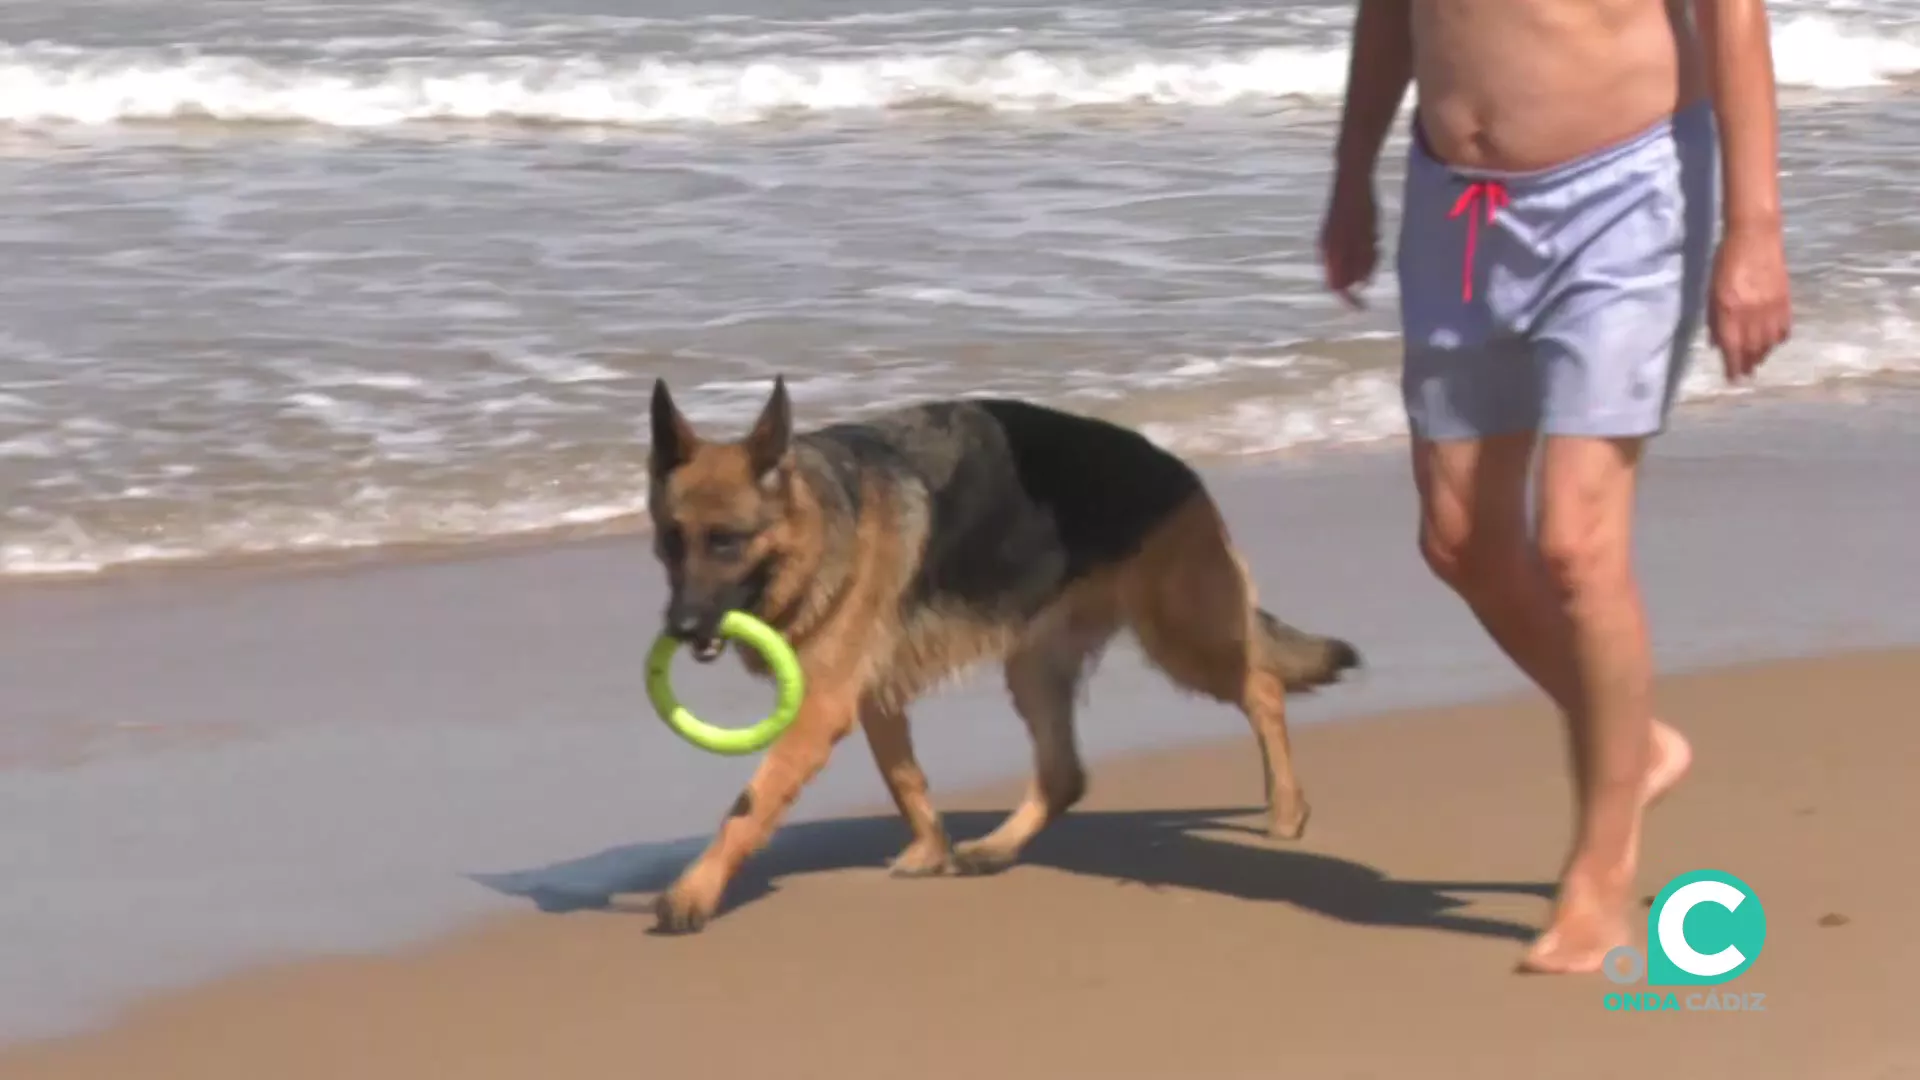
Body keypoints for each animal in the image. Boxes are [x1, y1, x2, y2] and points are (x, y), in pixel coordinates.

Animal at [648, 374, 1367, 930]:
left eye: (726, 541)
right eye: (670, 540)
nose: (680, 627)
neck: (824, 519)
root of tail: (1177, 468)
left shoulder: (821, 707)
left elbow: (752, 802)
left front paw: (695, 891)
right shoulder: (874, 696)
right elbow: (906, 779)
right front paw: (931, 849)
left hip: (1183, 636)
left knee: (1262, 688)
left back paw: (1287, 810)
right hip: (1035, 667)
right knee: (1064, 775)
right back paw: (994, 849)